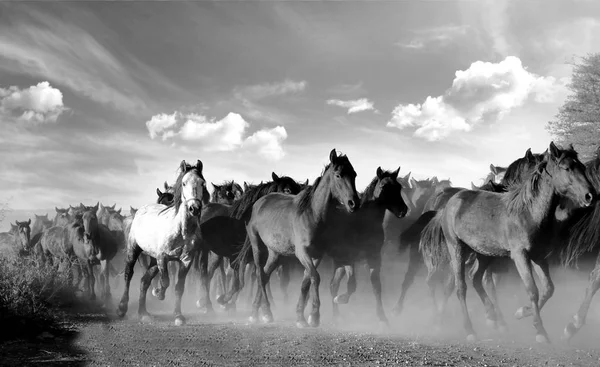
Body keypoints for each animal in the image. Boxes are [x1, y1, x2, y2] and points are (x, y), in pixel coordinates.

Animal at [116, 160, 206, 326]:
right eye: (184, 183)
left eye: (202, 183)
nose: (194, 208)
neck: (181, 230)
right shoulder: (163, 258)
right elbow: (165, 281)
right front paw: (158, 293)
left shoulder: (186, 261)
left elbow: (179, 288)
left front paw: (178, 316)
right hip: (134, 250)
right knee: (128, 275)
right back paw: (121, 308)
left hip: (152, 259)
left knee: (144, 281)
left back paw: (143, 313)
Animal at [237, 149, 360, 328]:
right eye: (338, 175)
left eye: (354, 175)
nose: (354, 203)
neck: (312, 214)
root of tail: (259, 202)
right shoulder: (302, 253)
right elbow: (315, 278)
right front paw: (314, 317)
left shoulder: (317, 255)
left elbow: (306, 283)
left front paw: (301, 317)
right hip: (257, 247)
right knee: (259, 274)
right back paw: (265, 313)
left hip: (275, 253)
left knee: (265, 275)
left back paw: (255, 311)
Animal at [326, 167, 410, 324]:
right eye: (383, 186)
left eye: (399, 187)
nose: (403, 210)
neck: (363, 222)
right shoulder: (350, 258)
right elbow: (352, 284)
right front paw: (342, 298)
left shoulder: (374, 257)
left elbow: (376, 286)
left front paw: (382, 318)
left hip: (339, 261)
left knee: (333, 284)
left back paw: (336, 316)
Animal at [420, 142, 592, 344]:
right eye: (566, 168)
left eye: (582, 167)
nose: (590, 195)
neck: (528, 212)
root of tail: (449, 204)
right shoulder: (520, 255)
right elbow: (532, 290)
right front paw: (540, 331)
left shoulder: (539, 256)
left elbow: (548, 289)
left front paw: (522, 312)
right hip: (457, 249)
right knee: (460, 287)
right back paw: (469, 330)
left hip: (484, 254)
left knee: (475, 279)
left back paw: (493, 318)